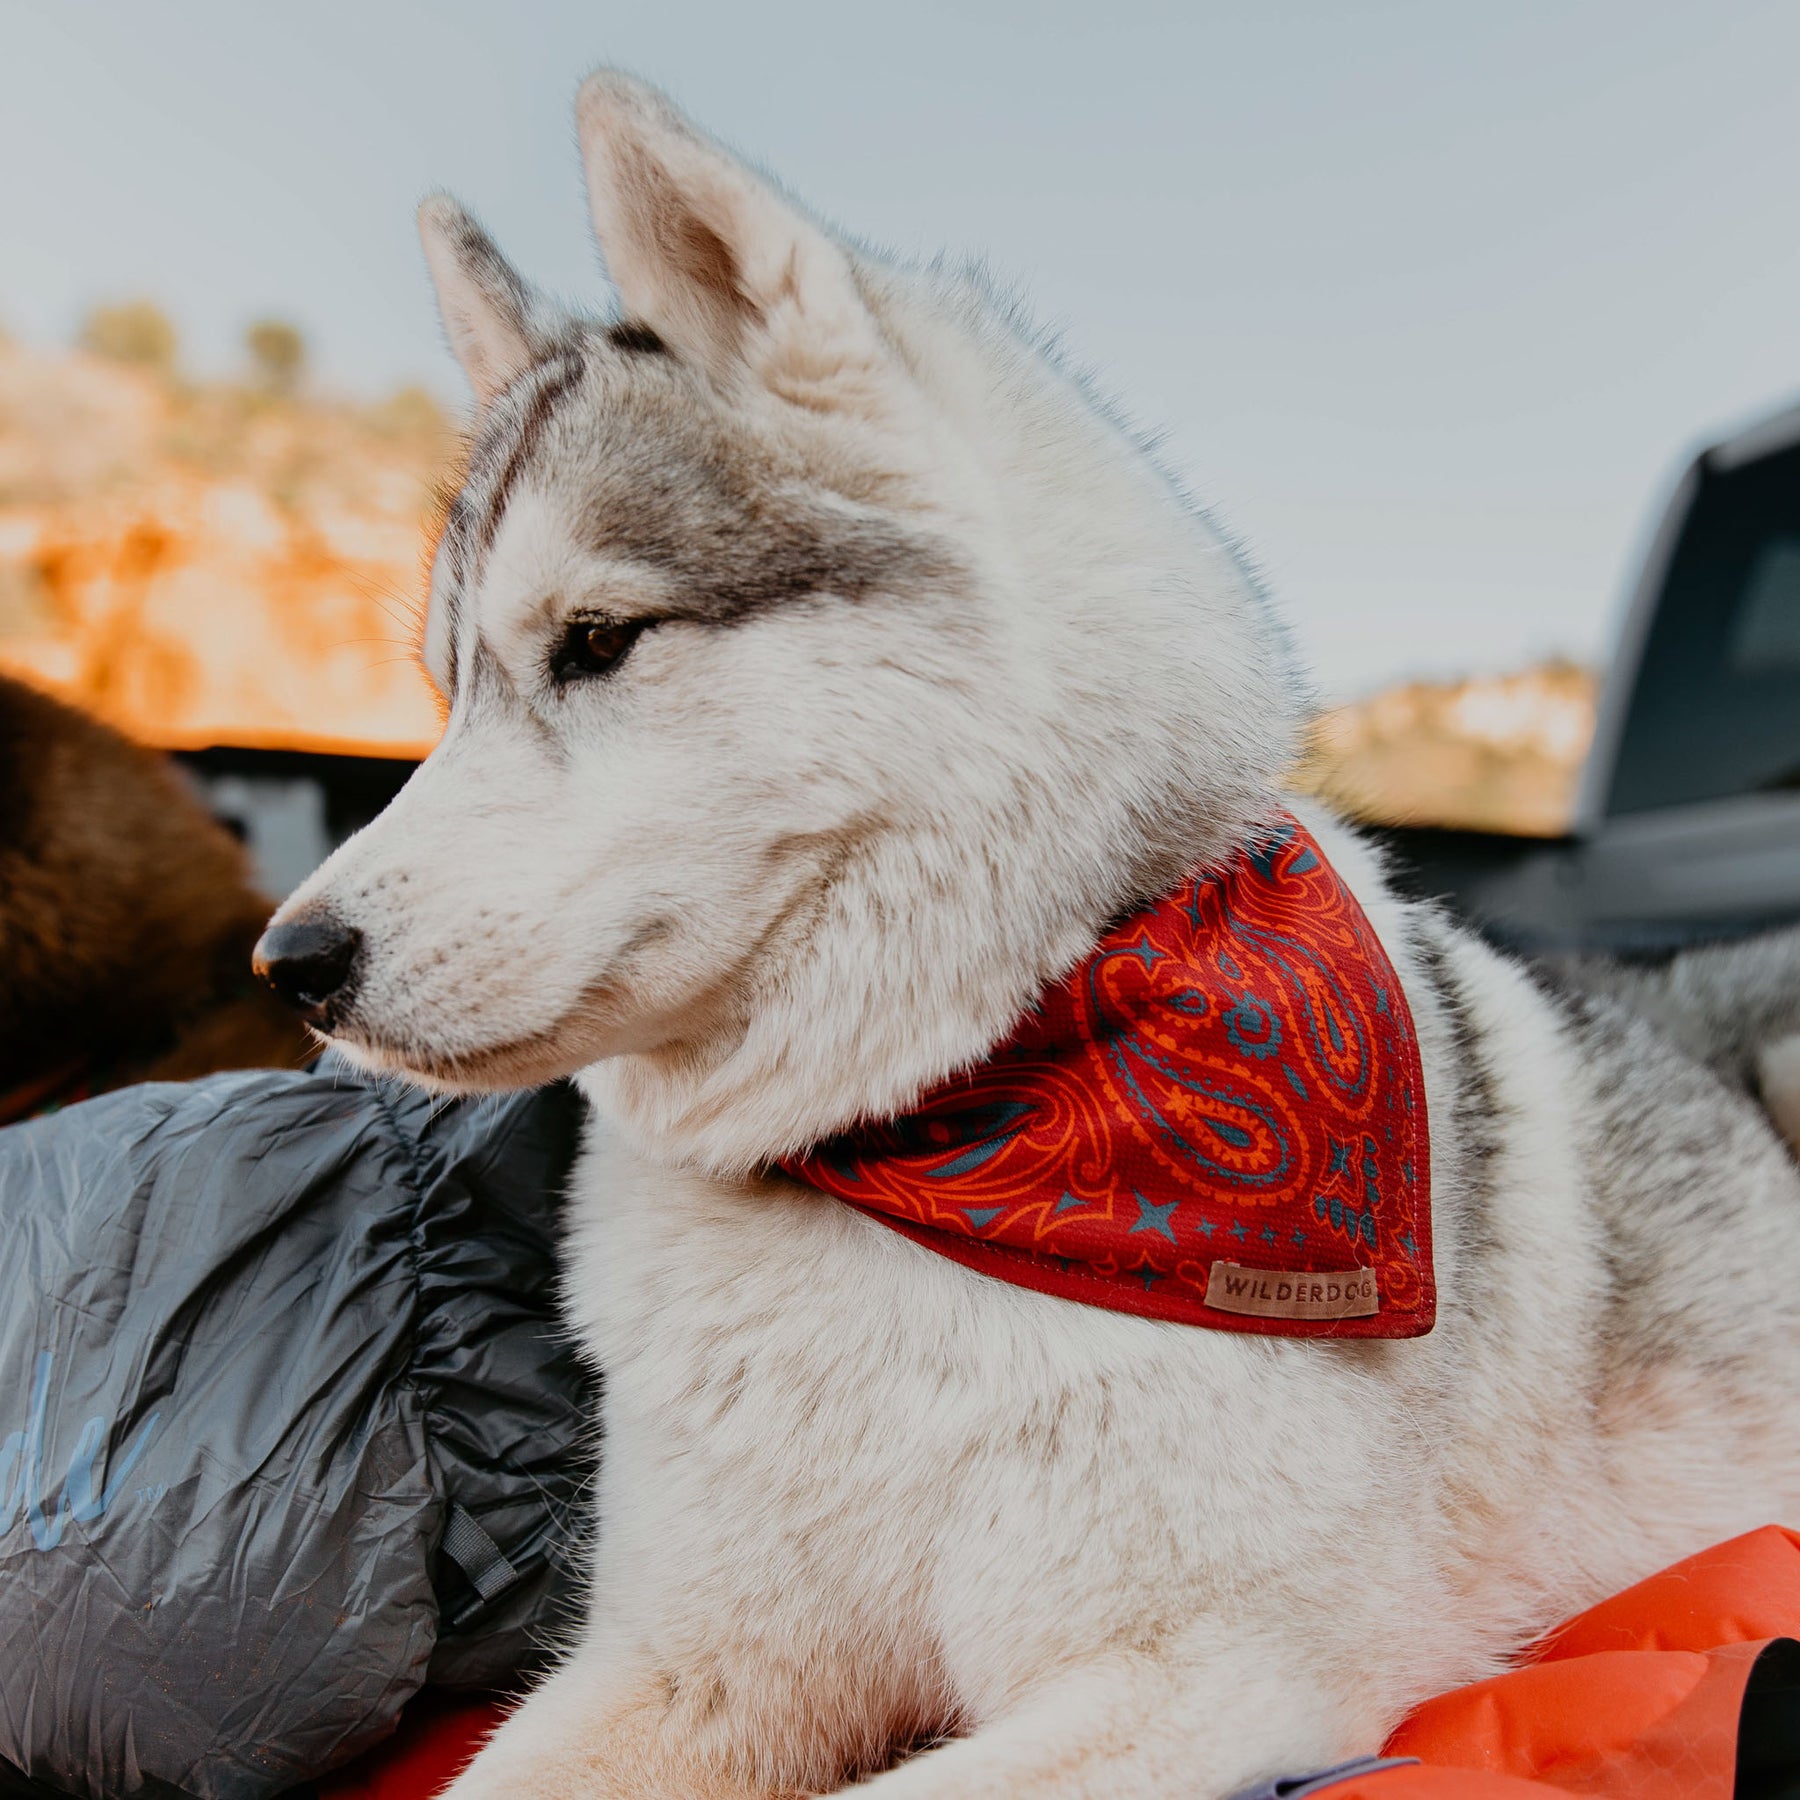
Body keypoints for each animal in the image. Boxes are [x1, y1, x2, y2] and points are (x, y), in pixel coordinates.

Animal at [253, 77, 1800, 1792]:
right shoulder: (691, 1661)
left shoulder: (1204, 1673)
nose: (292, 962)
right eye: (449, 687)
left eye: (597, 642)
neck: (942, 1140)